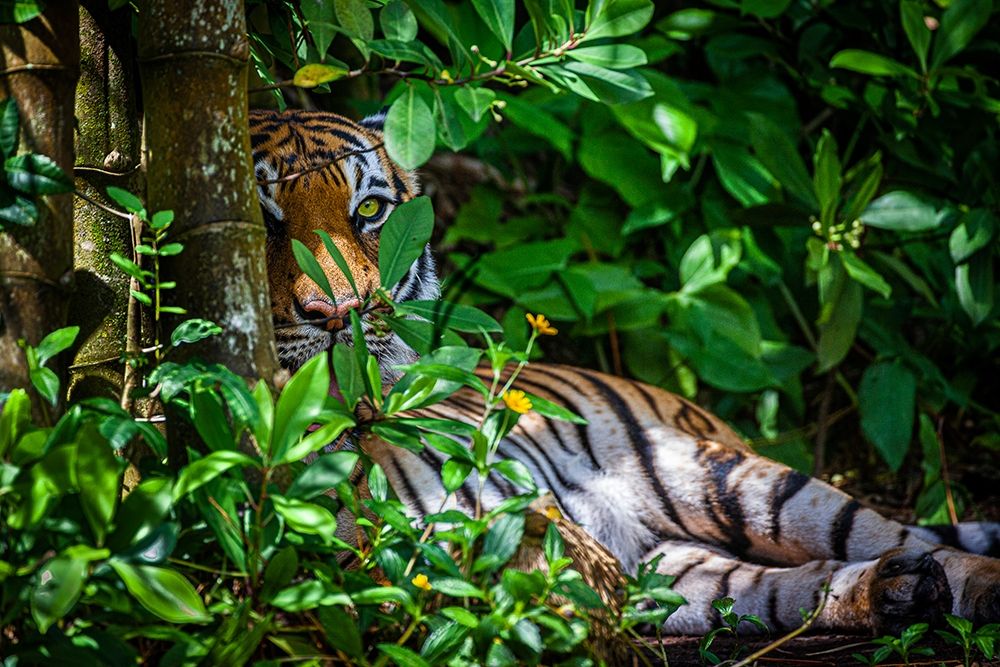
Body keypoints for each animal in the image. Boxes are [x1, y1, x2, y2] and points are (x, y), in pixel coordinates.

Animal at [249, 108, 1000, 635]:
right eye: (262, 220)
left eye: (369, 210)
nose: (339, 311)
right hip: (670, 564)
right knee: (781, 586)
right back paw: (896, 591)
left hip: (739, 480)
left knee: (899, 537)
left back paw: (969, 584)